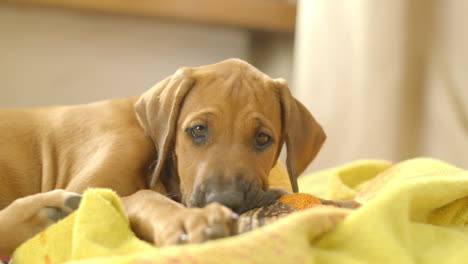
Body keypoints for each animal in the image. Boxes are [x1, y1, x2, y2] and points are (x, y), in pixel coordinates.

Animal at [0, 59, 326, 254]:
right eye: (197, 130)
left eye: (262, 139)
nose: (227, 201)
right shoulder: (90, 188)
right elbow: (141, 195)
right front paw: (187, 219)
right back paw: (45, 212)